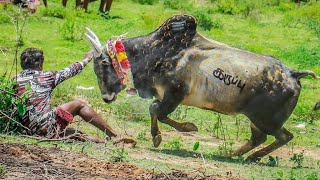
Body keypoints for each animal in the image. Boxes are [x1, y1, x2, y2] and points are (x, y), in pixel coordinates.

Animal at [84, 14, 318, 160]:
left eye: (103, 65)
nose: (106, 97)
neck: (156, 52)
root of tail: (293, 74)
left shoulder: (173, 95)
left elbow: (157, 111)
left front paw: (179, 130)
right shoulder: (165, 96)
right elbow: (155, 111)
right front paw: (161, 136)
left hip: (265, 120)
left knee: (284, 137)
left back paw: (251, 157)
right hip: (257, 121)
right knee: (260, 138)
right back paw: (233, 154)